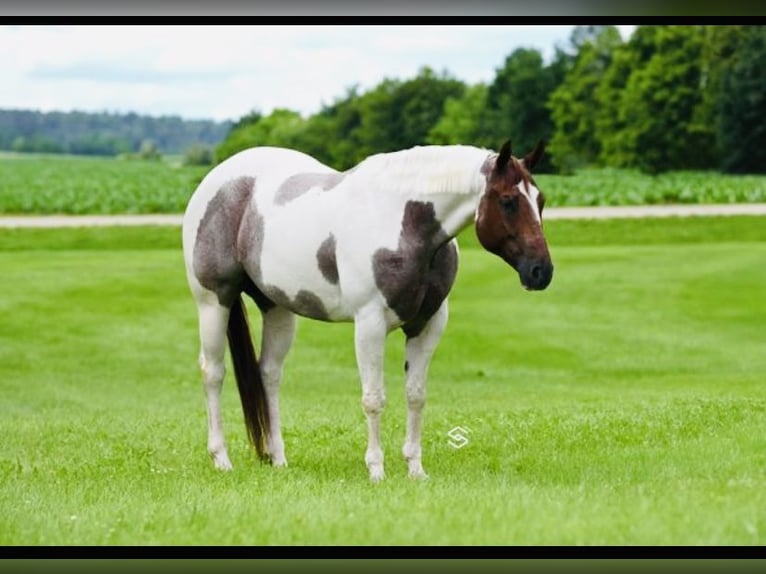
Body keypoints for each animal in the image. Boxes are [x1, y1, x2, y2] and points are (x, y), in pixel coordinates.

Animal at [181, 139, 553, 482]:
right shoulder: (369, 324)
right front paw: (376, 470)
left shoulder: (428, 324)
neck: (404, 223)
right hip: (213, 302)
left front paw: (415, 469)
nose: (541, 272)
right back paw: (221, 459)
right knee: (213, 372)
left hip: (278, 308)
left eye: (541, 201)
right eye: (508, 201)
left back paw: (278, 459)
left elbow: (415, 395)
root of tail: (219, 179)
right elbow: (374, 398)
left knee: (269, 374)